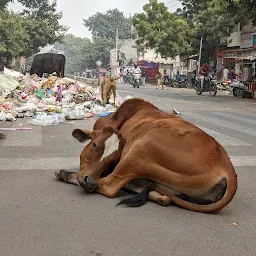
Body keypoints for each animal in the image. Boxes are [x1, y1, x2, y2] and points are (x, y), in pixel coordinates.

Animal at [56, 98, 238, 212]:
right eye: (94, 145)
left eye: (114, 158)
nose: (89, 181)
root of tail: (227, 168)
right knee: (163, 195)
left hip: (139, 151)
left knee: (109, 186)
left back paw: (66, 174)